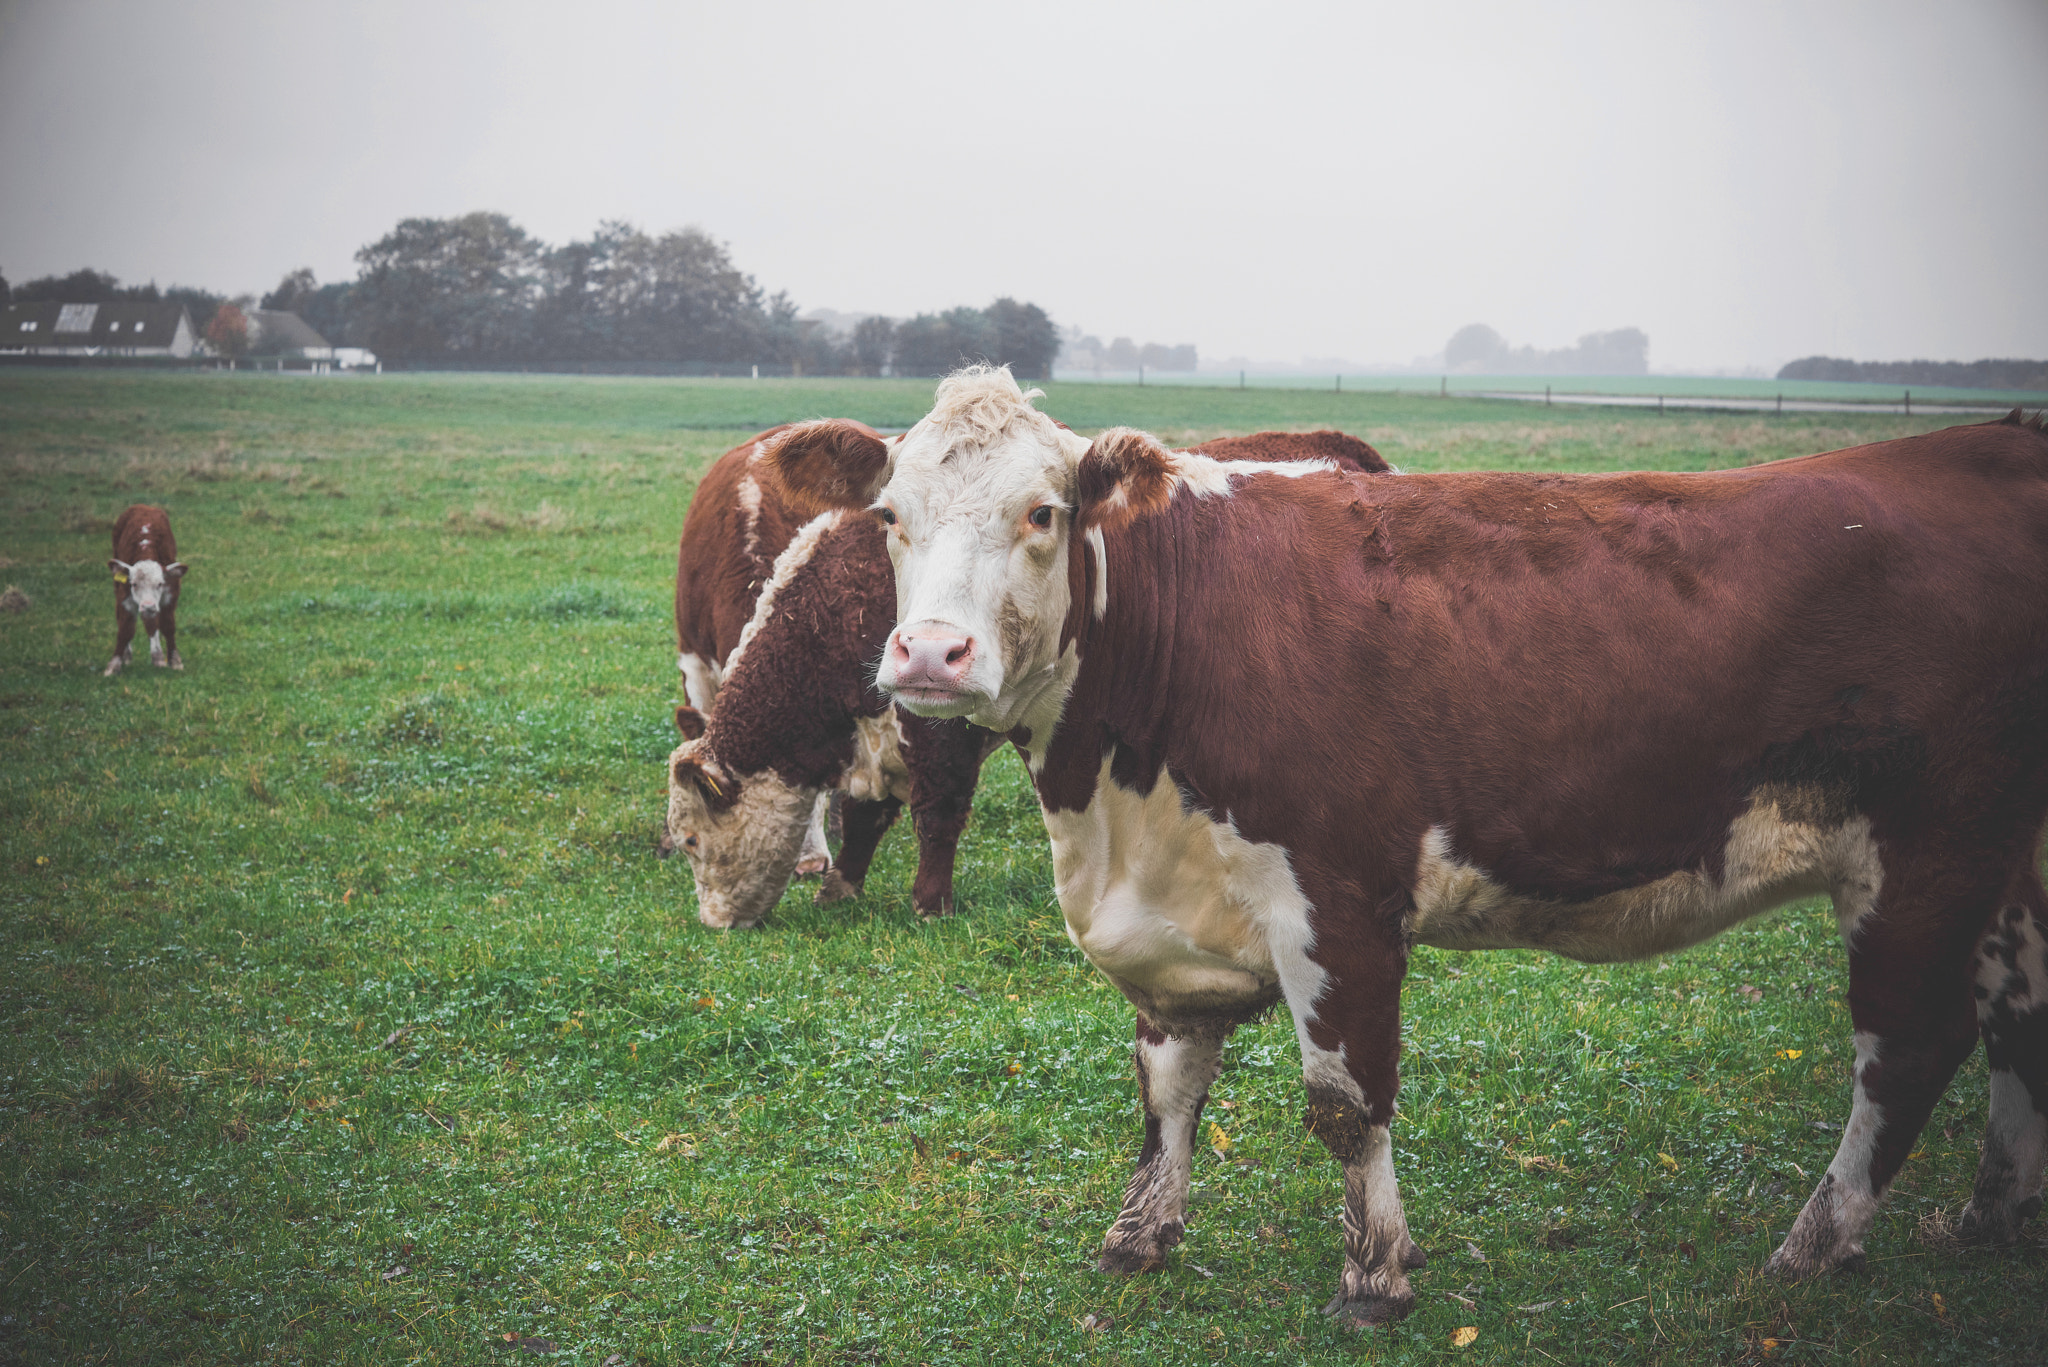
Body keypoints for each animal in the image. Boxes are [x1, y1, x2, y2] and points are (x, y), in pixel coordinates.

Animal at [105, 506, 188, 676]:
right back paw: (128, 655)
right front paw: (113, 664)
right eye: (134, 584)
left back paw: (157, 657)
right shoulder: (125, 597)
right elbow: (125, 629)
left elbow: (167, 625)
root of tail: (143, 506)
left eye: (160, 583)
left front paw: (174, 660)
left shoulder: (170, 594)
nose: (148, 605)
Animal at [774, 362, 2048, 1328]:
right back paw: (1986, 1217)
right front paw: (1139, 1233)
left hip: (1925, 846)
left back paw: (1811, 1245)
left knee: (1908, 1042)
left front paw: (1374, 1274)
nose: (928, 654)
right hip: (2008, 865)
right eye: (888, 516)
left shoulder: (1338, 894)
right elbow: (1167, 1077)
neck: (1113, 805)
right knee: (2014, 1013)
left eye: (1041, 512)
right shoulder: (1172, 909)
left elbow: (1347, 1098)